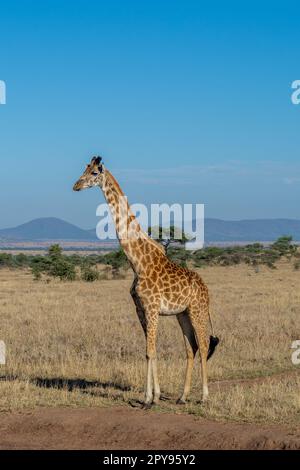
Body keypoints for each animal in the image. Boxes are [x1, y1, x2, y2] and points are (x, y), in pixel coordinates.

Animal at [72, 156, 218, 406]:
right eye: (84, 169)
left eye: (93, 173)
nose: (76, 186)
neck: (137, 262)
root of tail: (205, 288)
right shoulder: (140, 309)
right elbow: (150, 351)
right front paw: (151, 396)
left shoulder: (151, 308)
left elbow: (151, 351)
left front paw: (150, 399)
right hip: (182, 314)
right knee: (191, 348)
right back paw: (182, 396)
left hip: (197, 310)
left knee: (204, 344)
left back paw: (204, 397)